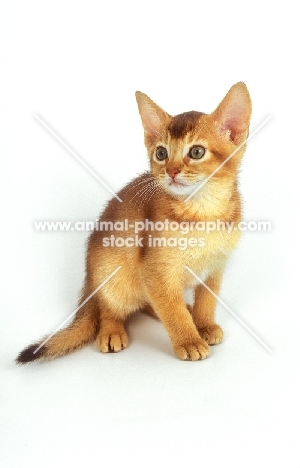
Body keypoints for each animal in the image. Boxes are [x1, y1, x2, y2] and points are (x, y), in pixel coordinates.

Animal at [15, 82, 251, 364]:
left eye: (196, 152)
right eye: (161, 153)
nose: (171, 171)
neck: (203, 212)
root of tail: (90, 277)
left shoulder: (214, 267)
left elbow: (206, 301)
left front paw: (204, 325)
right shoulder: (155, 269)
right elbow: (171, 311)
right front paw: (189, 340)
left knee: (151, 302)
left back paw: (187, 308)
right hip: (115, 276)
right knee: (110, 307)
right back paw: (111, 332)